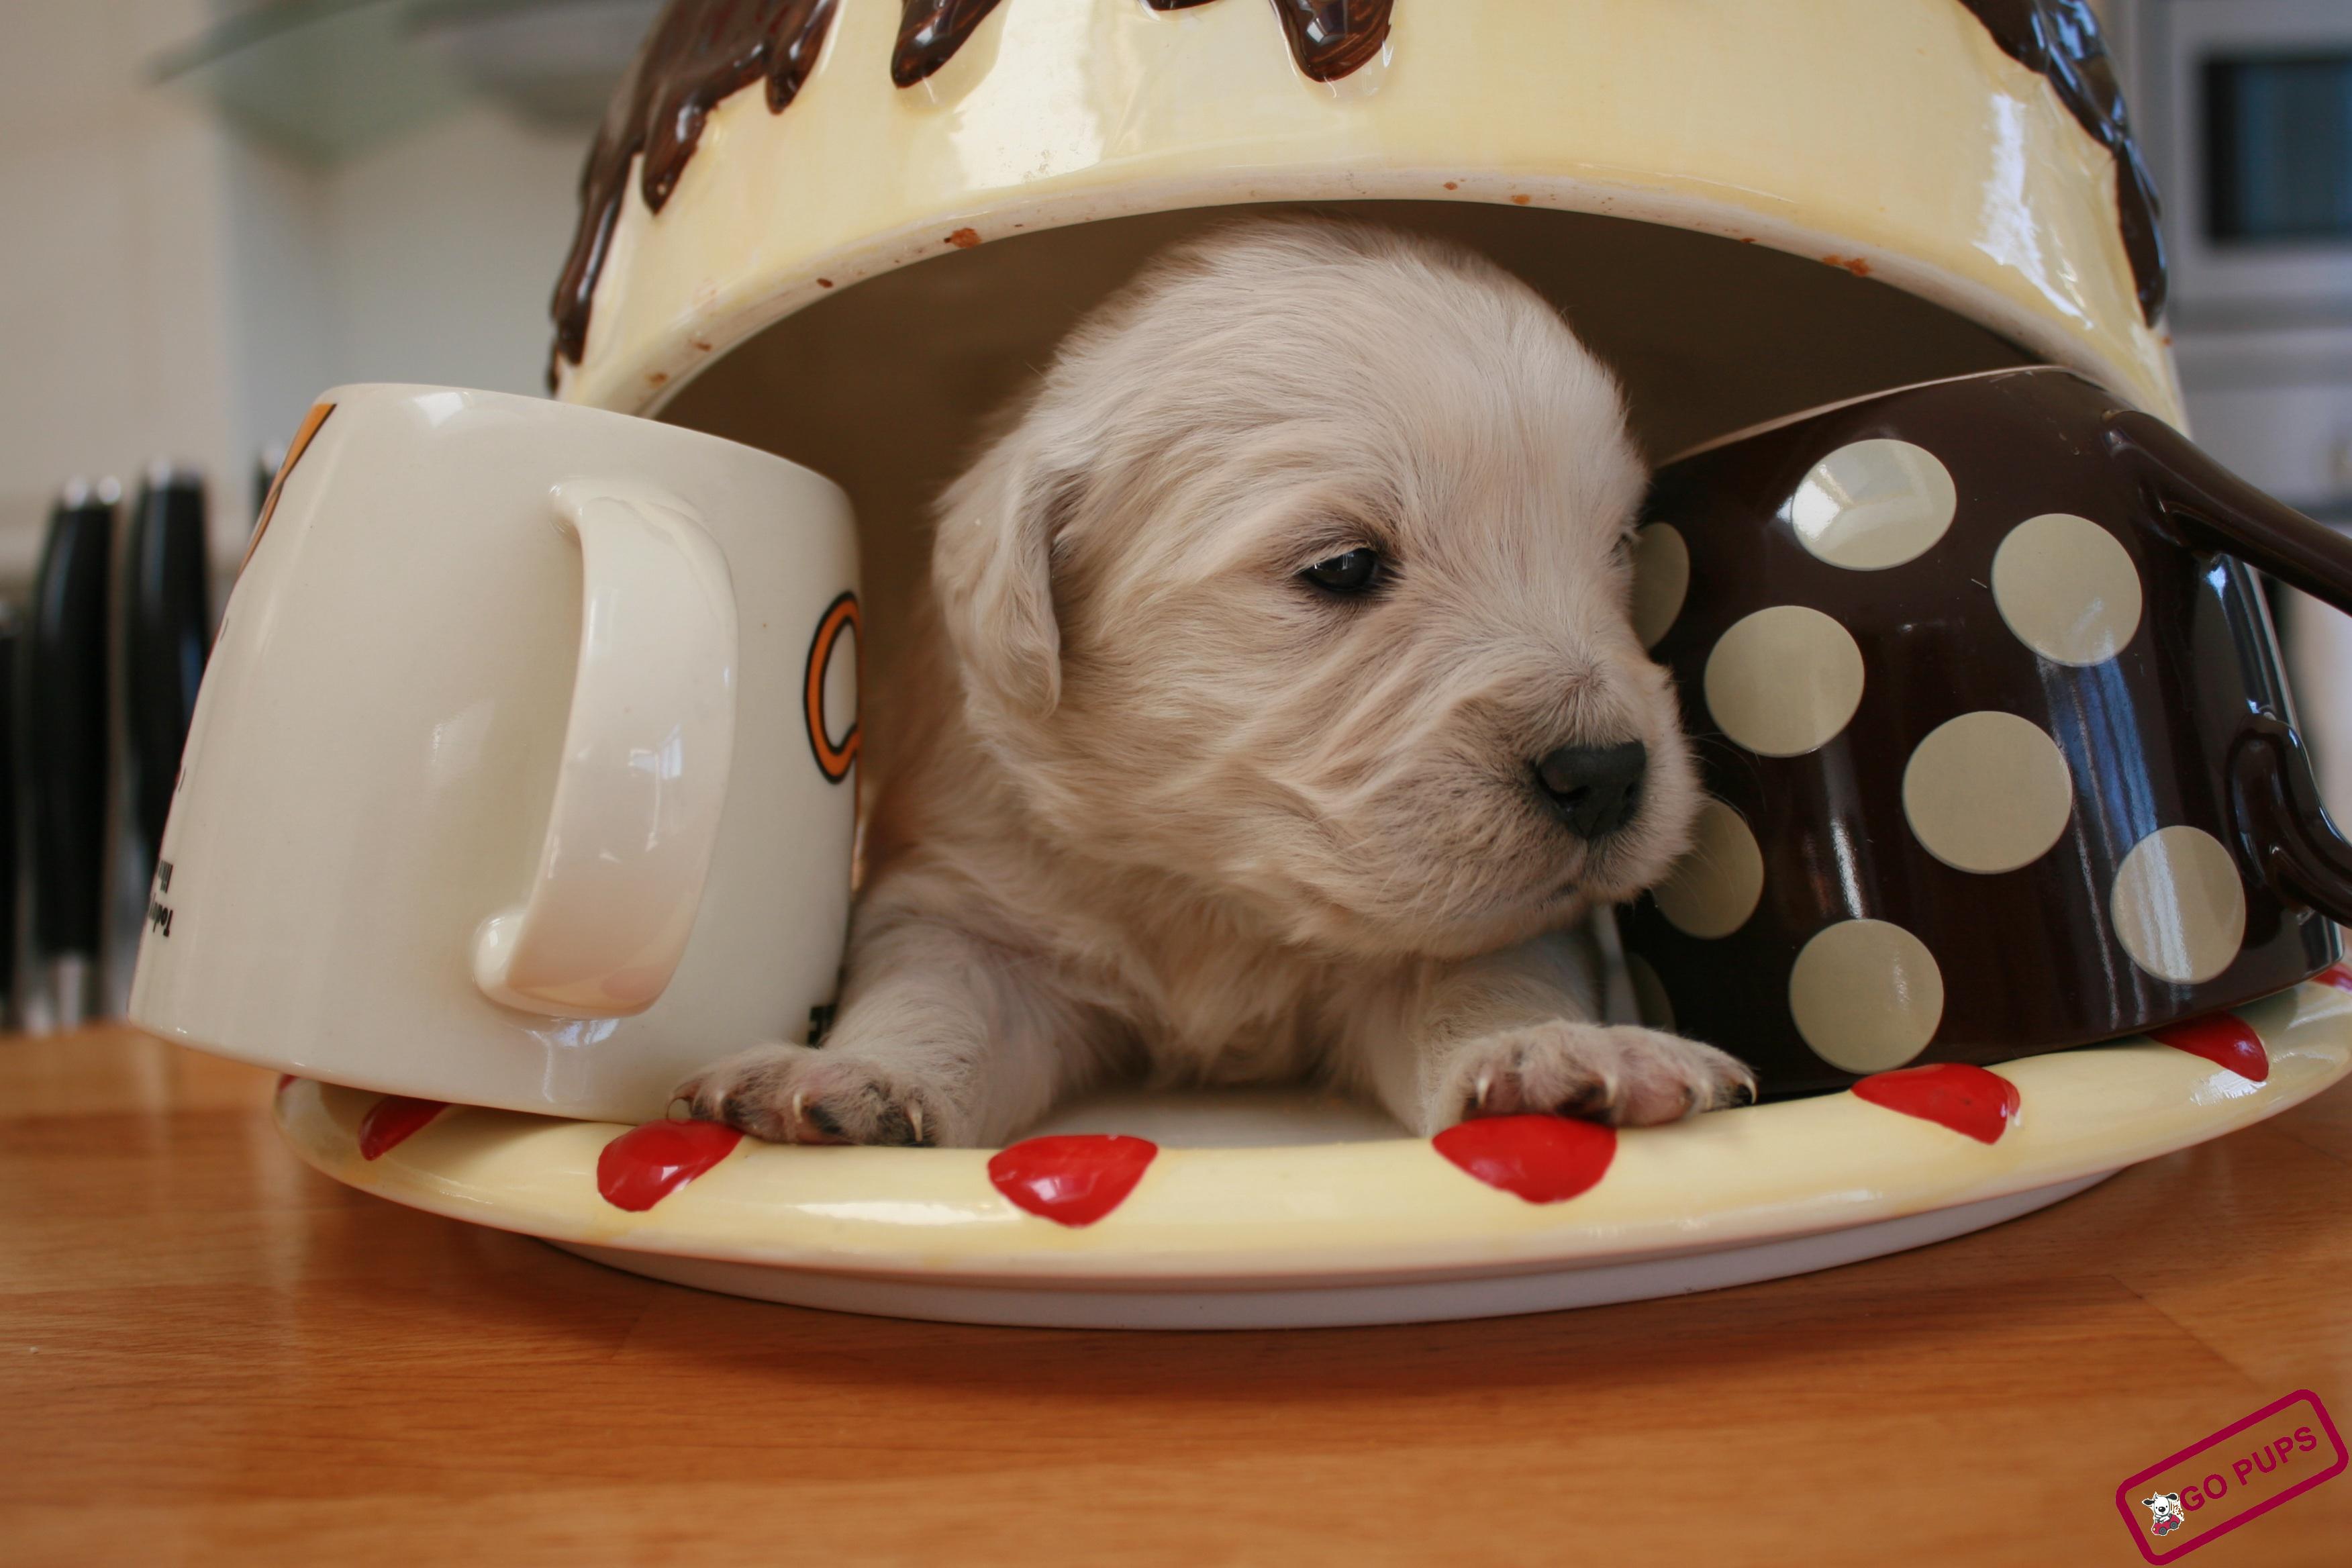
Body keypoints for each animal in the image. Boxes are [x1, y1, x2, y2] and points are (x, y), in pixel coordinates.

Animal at [682, 219, 1755, 1146]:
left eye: (1620, 549)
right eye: (1344, 566)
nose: (1607, 773)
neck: (1216, 885)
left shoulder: (1470, 934)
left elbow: (1485, 983)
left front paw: (1558, 1053)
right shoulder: (970, 899)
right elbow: (932, 996)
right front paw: (850, 1077)